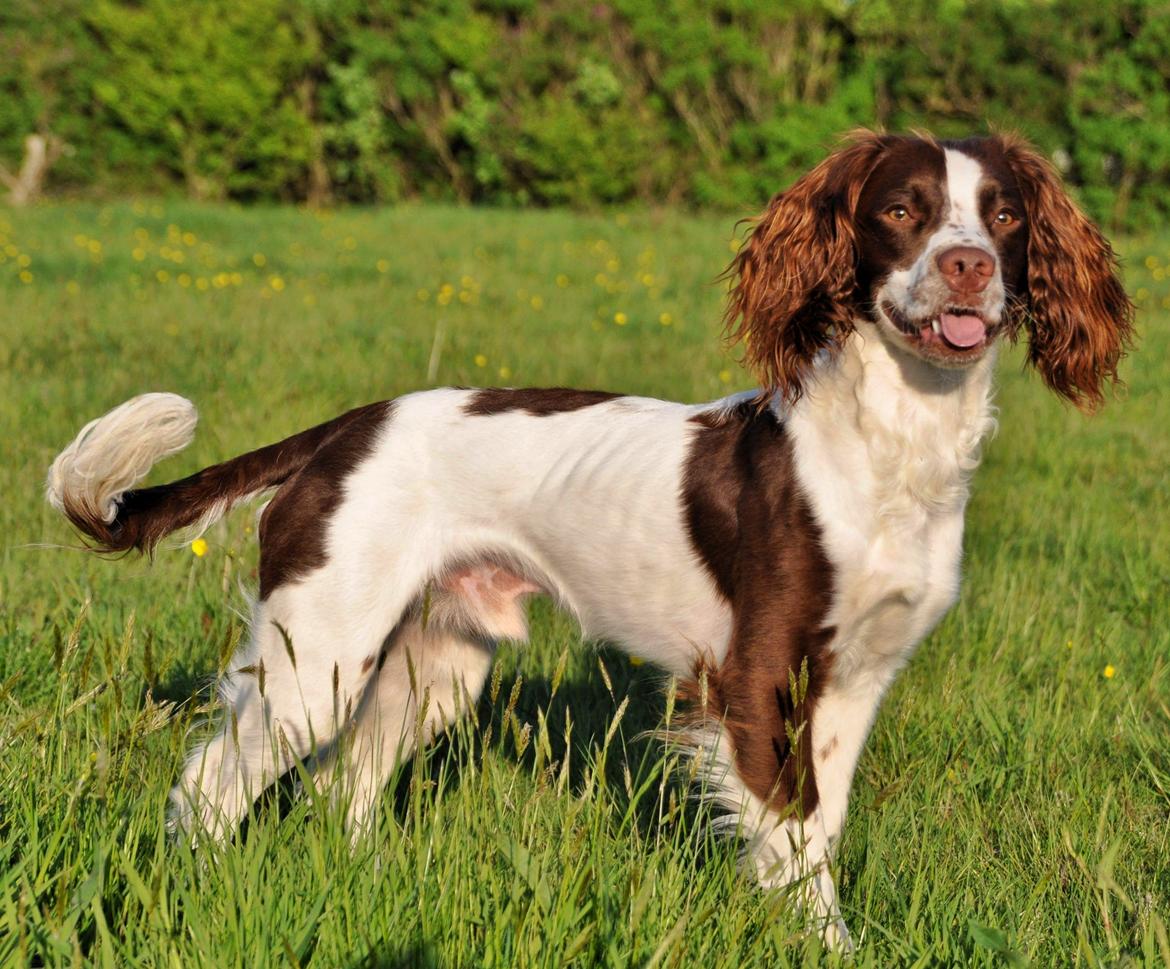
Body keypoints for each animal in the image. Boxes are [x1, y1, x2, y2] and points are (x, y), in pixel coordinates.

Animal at [47, 132, 1132, 950]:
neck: (890, 444)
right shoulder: (751, 676)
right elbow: (792, 844)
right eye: (903, 211)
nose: (968, 267)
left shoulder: (854, 681)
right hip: (318, 653)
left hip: (437, 662)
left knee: (341, 784)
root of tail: (344, 428)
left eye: (1004, 217)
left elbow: (818, 832)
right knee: (213, 782)